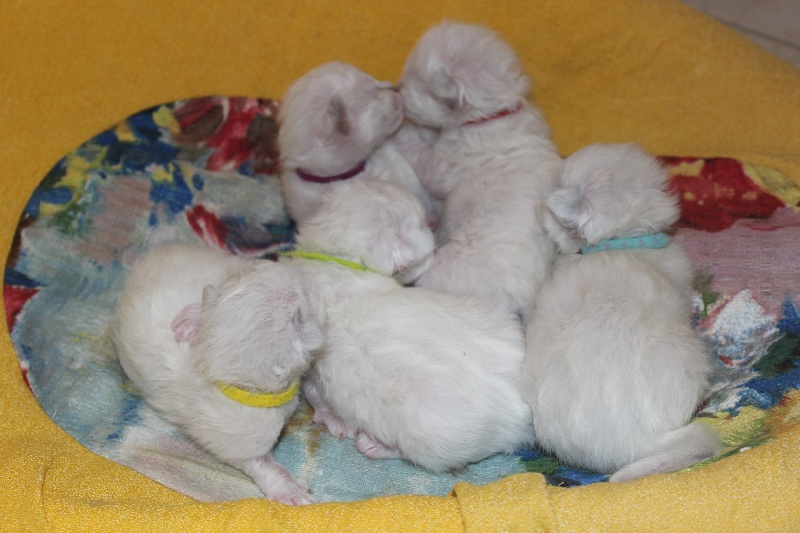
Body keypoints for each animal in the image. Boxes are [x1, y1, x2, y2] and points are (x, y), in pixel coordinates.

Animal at [282, 181, 532, 472]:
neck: (340, 258)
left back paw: (373, 445)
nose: (434, 223)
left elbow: (313, 391)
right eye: (423, 222)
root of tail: (522, 411)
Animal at [398, 21, 564, 320]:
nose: (396, 88)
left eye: (415, 82)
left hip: (442, 272)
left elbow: (423, 157)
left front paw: (405, 130)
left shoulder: (443, 167)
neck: (495, 110)